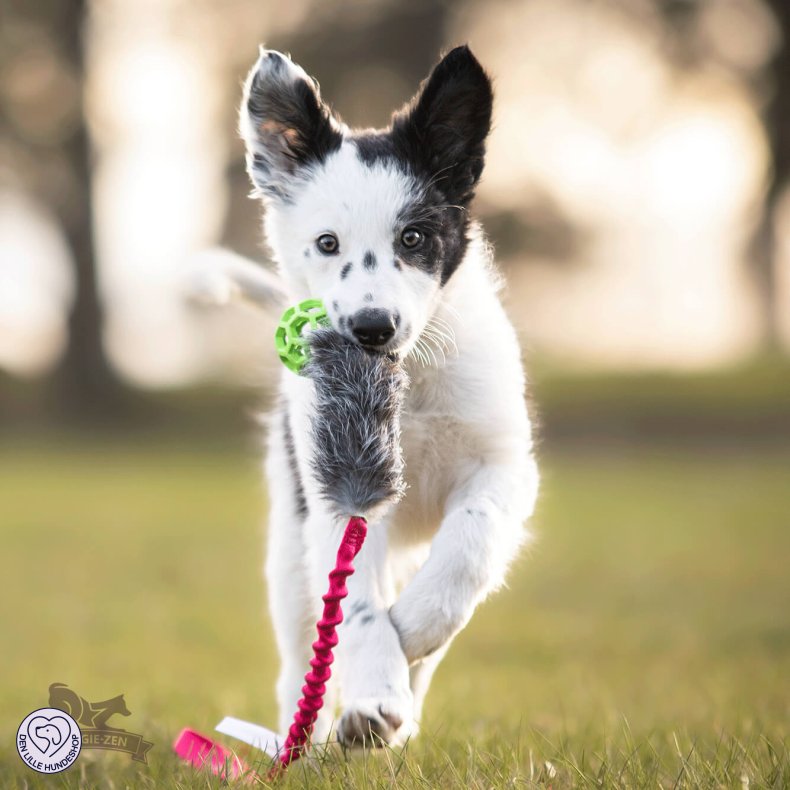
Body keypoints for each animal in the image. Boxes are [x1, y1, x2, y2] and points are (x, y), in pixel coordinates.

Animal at [235, 43, 540, 748]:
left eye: (414, 238)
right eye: (327, 244)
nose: (372, 328)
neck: (409, 386)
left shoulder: (504, 464)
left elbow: (470, 544)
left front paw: (418, 627)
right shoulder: (338, 496)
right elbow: (357, 606)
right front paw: (375, 693)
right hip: (288, 552)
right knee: (298, 659)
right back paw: (310, 736)